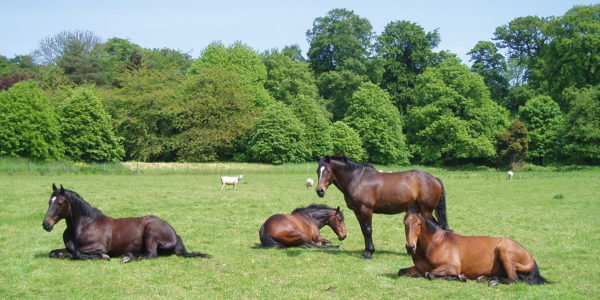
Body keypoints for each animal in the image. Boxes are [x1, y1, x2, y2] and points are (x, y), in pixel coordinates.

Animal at [42, 184, 211, 264]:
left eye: (60, 203)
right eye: (49, 201)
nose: (46, 224)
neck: (85, 224)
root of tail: (175, 234)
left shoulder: (98, 246)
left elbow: (77, 253)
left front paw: (103, 257)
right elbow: (55, 253)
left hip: (151, 233)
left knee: (151, 255)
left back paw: (126, 257)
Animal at [316, 156, 448, 258]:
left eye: (328, 171)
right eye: (317, 171)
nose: (319, 191)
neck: (357, 179)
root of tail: (435, 179)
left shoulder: (366, 210)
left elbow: (368, 230)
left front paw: (369, 253)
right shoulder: (357, 212)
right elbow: (364, 231)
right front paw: (367, 251)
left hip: (426, 211)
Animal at [398, 209, 548, 286]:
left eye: (418, 224)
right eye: (405, 223)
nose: (410, 247)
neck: (435, 243)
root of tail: (531, 258)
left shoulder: (451, 267)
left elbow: (429, 274)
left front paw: (458, 277)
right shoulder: (419, 267)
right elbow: (402, 271)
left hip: (504, 252)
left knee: (513, 279)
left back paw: (491, 280)